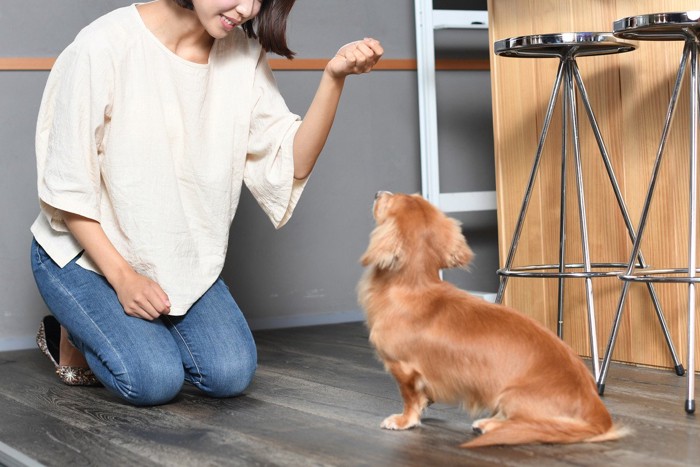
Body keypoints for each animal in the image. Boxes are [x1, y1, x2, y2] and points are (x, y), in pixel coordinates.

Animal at [358, 192, 628, 448]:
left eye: (389, 200)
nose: (378, 192)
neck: (413, 285)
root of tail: (595, 407)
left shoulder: (402, 368)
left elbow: (409, 398)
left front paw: (404, 420)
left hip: (511, 395)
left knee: (533, 424)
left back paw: (490, 425)